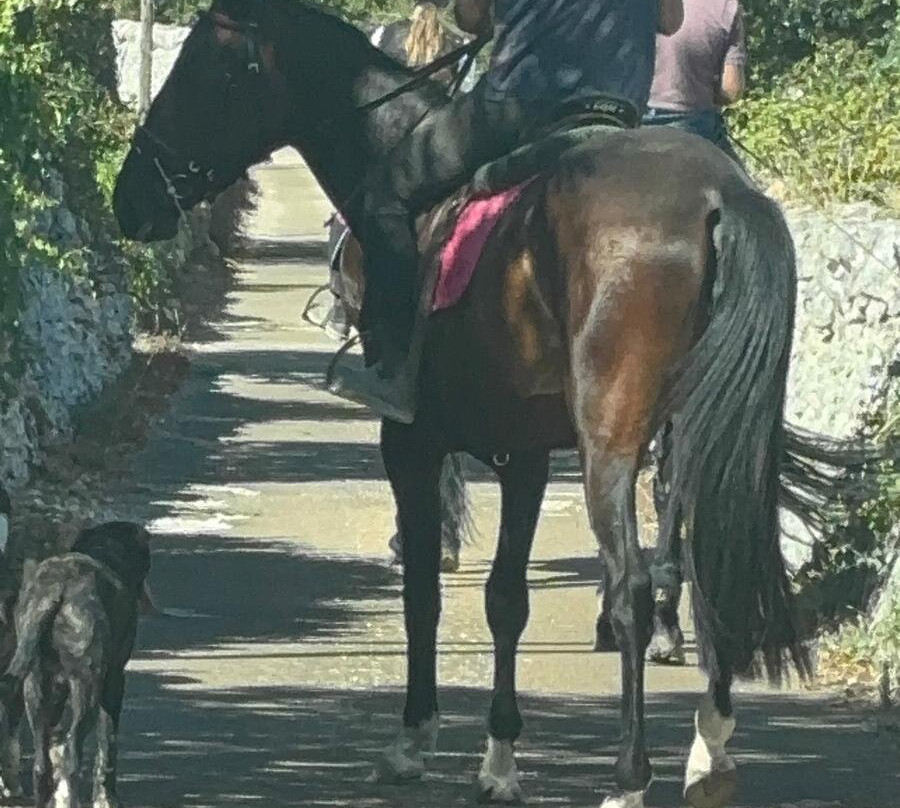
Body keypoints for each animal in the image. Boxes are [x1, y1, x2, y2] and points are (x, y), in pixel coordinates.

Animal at [114, 2, 834, 805]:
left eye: (203, 71)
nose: (130, 199)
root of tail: (718, 199)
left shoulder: (412, 442)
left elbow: (423, 588)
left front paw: (415, 736)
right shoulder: (524, 451)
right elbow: (505, 599)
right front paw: (499, 755)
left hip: (610, 440)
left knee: (631, 584)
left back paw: (629, 775)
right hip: (698, 430)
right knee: (706, 561)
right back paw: (710, 746)